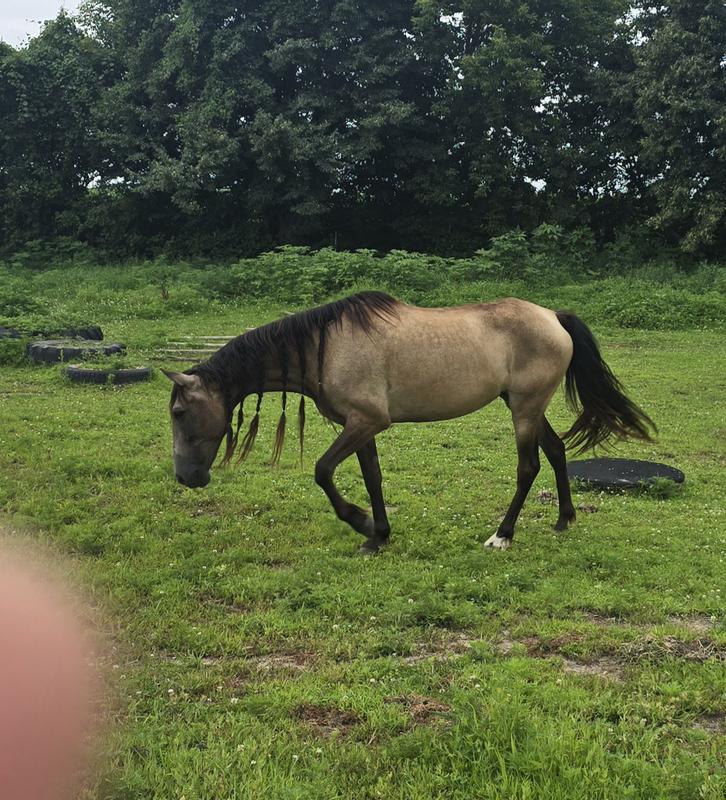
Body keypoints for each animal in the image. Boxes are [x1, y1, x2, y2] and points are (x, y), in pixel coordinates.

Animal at [164, 292, 654, 553]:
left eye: (179, 412)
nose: (186, 478)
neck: (325, 347)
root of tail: (553, 316)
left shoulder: (366, 421)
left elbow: (323, 472)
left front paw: (361, 523)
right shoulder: (361, 426)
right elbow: (373, 478)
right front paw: (378, 534)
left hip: (524, 409)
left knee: (529, 466)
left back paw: (503, 534)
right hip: (527, 406)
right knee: (555, 451)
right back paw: (564, 518)